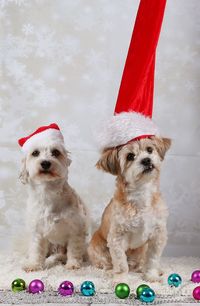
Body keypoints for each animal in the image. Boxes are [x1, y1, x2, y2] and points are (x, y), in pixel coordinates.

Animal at [18, 123, 88, 272]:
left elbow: (74, 249)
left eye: (55, 152)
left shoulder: (75, 228)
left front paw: (73, 264)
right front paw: (34, 264)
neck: (48, 192)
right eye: (35, 153)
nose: (45, 163)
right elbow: (36, 250)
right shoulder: (37, 230)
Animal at [88, 136, 171, 282]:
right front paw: (120, 279)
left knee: (139, 262)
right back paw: (109, 272)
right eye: (130, 156)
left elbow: (152, 260)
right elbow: (120, 263)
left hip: (141, 250)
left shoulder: (157, 235)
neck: (141, 192)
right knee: (107, 264)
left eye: (149, 149)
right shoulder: (117, 237)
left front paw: (151, 275)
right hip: (97, 248)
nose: (146, 160)